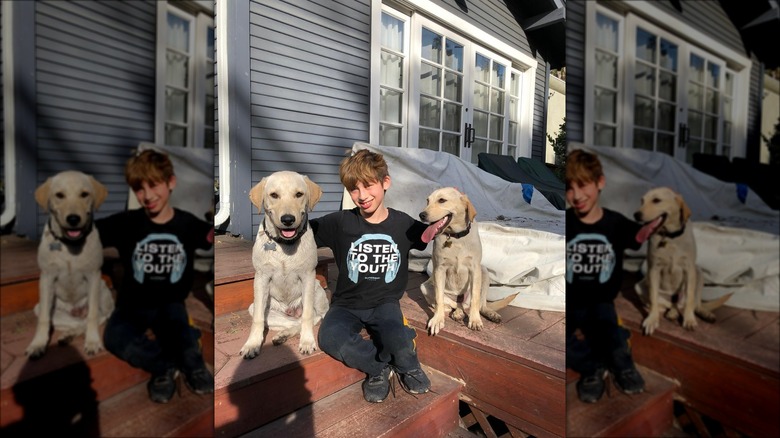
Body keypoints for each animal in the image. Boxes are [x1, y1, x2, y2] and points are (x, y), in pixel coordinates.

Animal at [27, 169, 115, 358]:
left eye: (84, 194)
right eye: (59, 195)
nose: (73, 219)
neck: (70, 246)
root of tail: (76, 310)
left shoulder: (94, 276)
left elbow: (93, 316)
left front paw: (92, 341)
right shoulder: (46, 277)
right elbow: (44, 319)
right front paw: (38, 344)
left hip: (103, 291)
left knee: (97, 317)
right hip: (45, 308)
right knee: (74, 323)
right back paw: (67, 336)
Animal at [242, 169, 330, 358]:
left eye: (299, 194)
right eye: (274, 195)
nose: (288, 219)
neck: (285, 245)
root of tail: (291, 310)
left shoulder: (308, 276)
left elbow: (307, 317)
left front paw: (307, 341)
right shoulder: (261, 278)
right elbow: (258, 319)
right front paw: (252, 344)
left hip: (317, 290)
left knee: (312, 317)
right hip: (262, 309)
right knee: (290, 323)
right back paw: (281, 336)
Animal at [418, 187, 516, 336]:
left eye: (442, 200)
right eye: (427, 201)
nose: (421, 215)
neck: (455, 237)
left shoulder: (475, 269)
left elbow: (475, 299)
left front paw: (475, 320)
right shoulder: (439, 269)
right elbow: (439, 299)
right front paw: (437, 320)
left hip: (484, 272)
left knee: (479, 304)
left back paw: (489, 313)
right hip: (425, 287)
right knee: (452, 304)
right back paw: (456, 312)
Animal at [632, 186, 732, 336]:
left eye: (656, 200)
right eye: (642, 201)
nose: (636, 214)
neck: (670, 238)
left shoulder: (689, 269)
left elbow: (690, 298)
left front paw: (689, 319)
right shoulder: (654, 269)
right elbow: (653, 298)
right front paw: (652, 319)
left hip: (699, 273)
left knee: (693, 304)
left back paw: (702, 313)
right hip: (639, 286)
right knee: (665, 305)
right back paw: (668, 312)